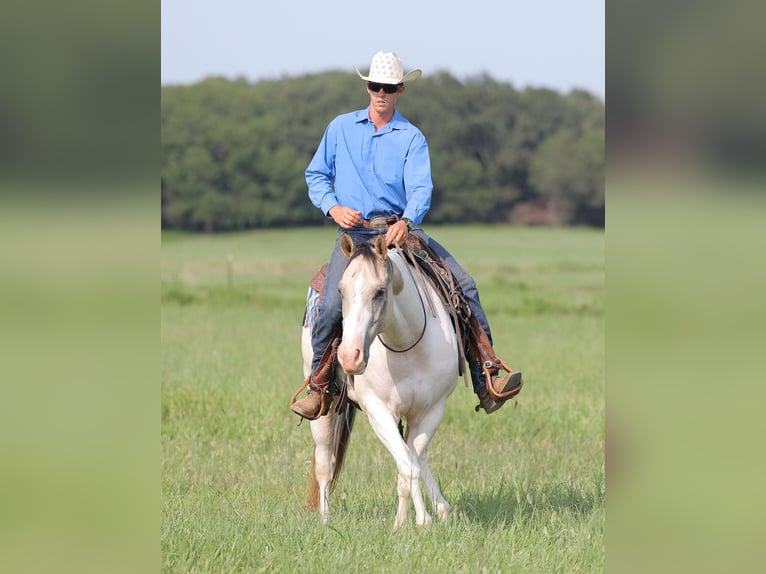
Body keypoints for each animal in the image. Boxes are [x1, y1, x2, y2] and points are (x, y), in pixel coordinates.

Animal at [304, 234, 460, 532]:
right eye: (340, 291)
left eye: (379, 292)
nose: (348, 356)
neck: (407, 344)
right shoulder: (379, 412)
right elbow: (407, 465)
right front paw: (420, 521)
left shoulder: (432, 411)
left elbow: (410, 462)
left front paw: (406, 522)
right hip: (324, 408)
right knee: (325, 464)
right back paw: (326, 521)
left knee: (417, 456)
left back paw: (441, 508)